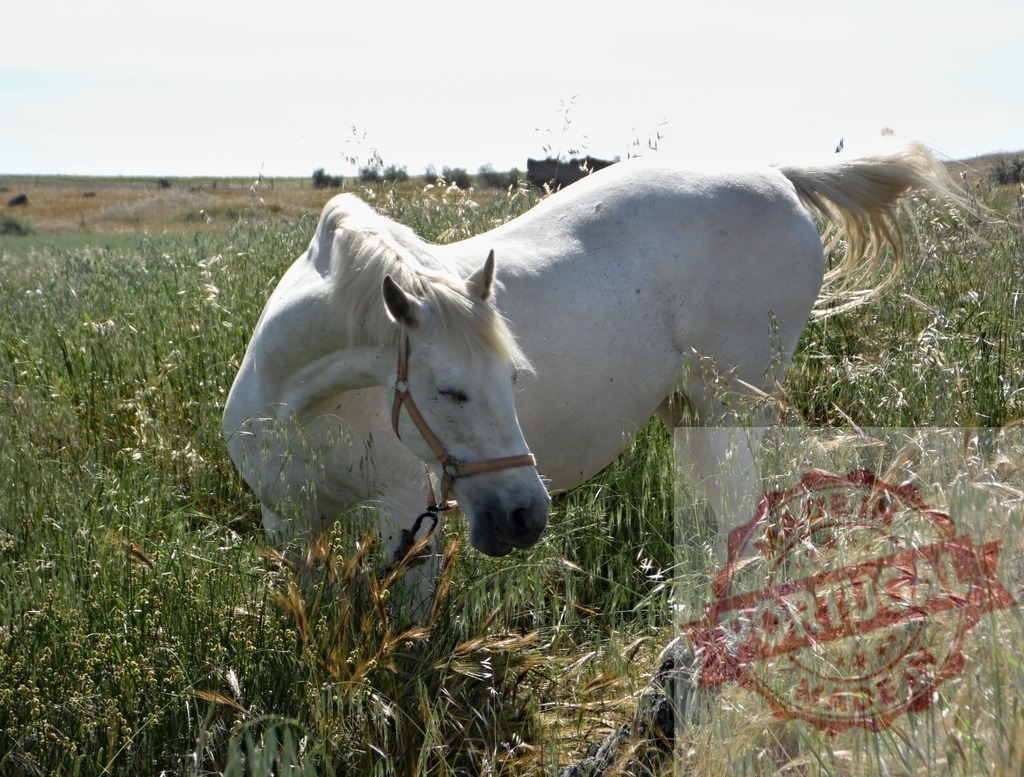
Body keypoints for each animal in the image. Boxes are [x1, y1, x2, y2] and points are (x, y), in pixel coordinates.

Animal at [223, 140, 956, 600]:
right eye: (450, 390)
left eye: (514, 380)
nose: (525, 516)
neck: (299, 405)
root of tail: (777, 173)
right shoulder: (287, 525)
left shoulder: (405, 520)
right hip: (693, 411)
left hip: (734, 405)